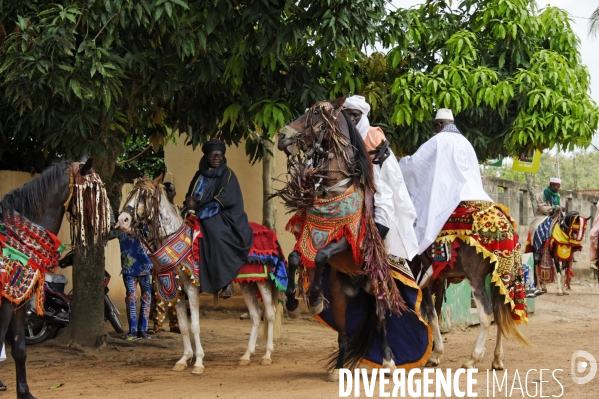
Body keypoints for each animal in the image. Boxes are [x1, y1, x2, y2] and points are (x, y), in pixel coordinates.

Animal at [0, 160, 111, 399]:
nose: (113, 221)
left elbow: (20, 349)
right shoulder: (5, 303)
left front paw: (24, 393)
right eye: (94, 190)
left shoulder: (18, 304)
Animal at [119, 175, 284, 372]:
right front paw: (184, 359)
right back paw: (246, 355)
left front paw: (198, 362)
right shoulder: (177, 290)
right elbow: (184, 326)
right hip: (247, 283)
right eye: (131, 192)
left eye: (146, 195)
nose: (123, 220)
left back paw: (267, 355)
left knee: (270, 314)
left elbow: (195, 326)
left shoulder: (191, 287)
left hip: (263, 282)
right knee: (256, 315)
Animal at [276, 97, 432, 382]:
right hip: (340, 297)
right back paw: (338, 368)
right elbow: (294, 257)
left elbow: (322, 255)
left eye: (316, 115)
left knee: (382, 326)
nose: (282, 136)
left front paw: (314, 297)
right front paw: (294, 300)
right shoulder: (308, 236)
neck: (334, 190)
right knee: (343, 334)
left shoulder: (348, 242)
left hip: (379, 291)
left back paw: (389, 364)